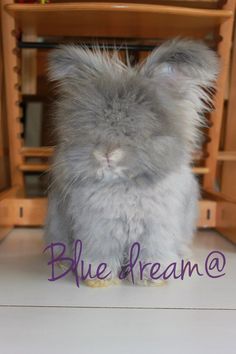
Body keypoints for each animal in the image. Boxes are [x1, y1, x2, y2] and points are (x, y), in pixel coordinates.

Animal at [45, 39, 218, 288]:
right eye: (88, 127)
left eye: (135, 130)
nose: (106, 154)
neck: (124, 185)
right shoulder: (98, 231)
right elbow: (101, 256)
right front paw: (99, 281)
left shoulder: (156, 232)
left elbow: (151, 256)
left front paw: (151, 280)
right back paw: (60, 264)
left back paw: (185, 257)